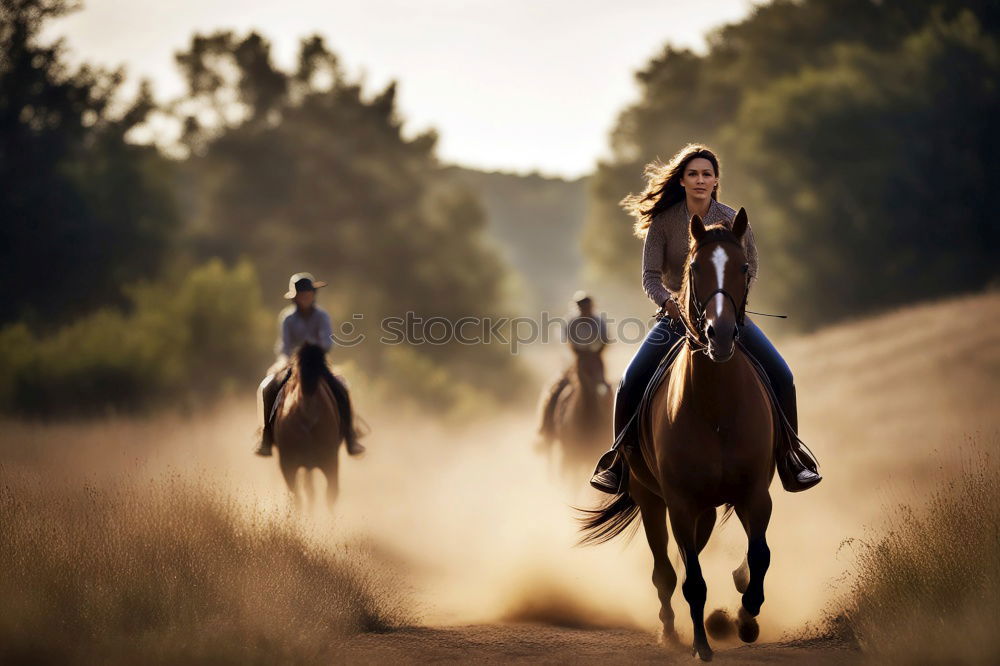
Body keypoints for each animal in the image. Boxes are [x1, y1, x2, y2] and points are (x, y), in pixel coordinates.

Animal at [580, 209, 780, 660]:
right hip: (651, 500)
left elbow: (759, 557)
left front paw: (747, 618)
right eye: (695, 267)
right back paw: (670, 632)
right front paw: (702, 646)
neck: (717, 408)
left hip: (705, 510)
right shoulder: (681, 504)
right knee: (665, 571)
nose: (719, 335)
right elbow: (692, 580)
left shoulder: (755, 494)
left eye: (743, 267)